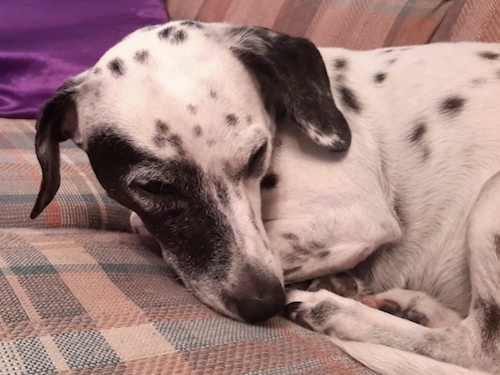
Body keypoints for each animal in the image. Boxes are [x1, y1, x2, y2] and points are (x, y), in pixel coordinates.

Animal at [31, 21, 500, 375]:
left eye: (259, 153)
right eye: (154, 187)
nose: (264, 305)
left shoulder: (358, 218)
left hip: (490, 202)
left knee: (477, 348)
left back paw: (334, 312)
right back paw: (407, 305)